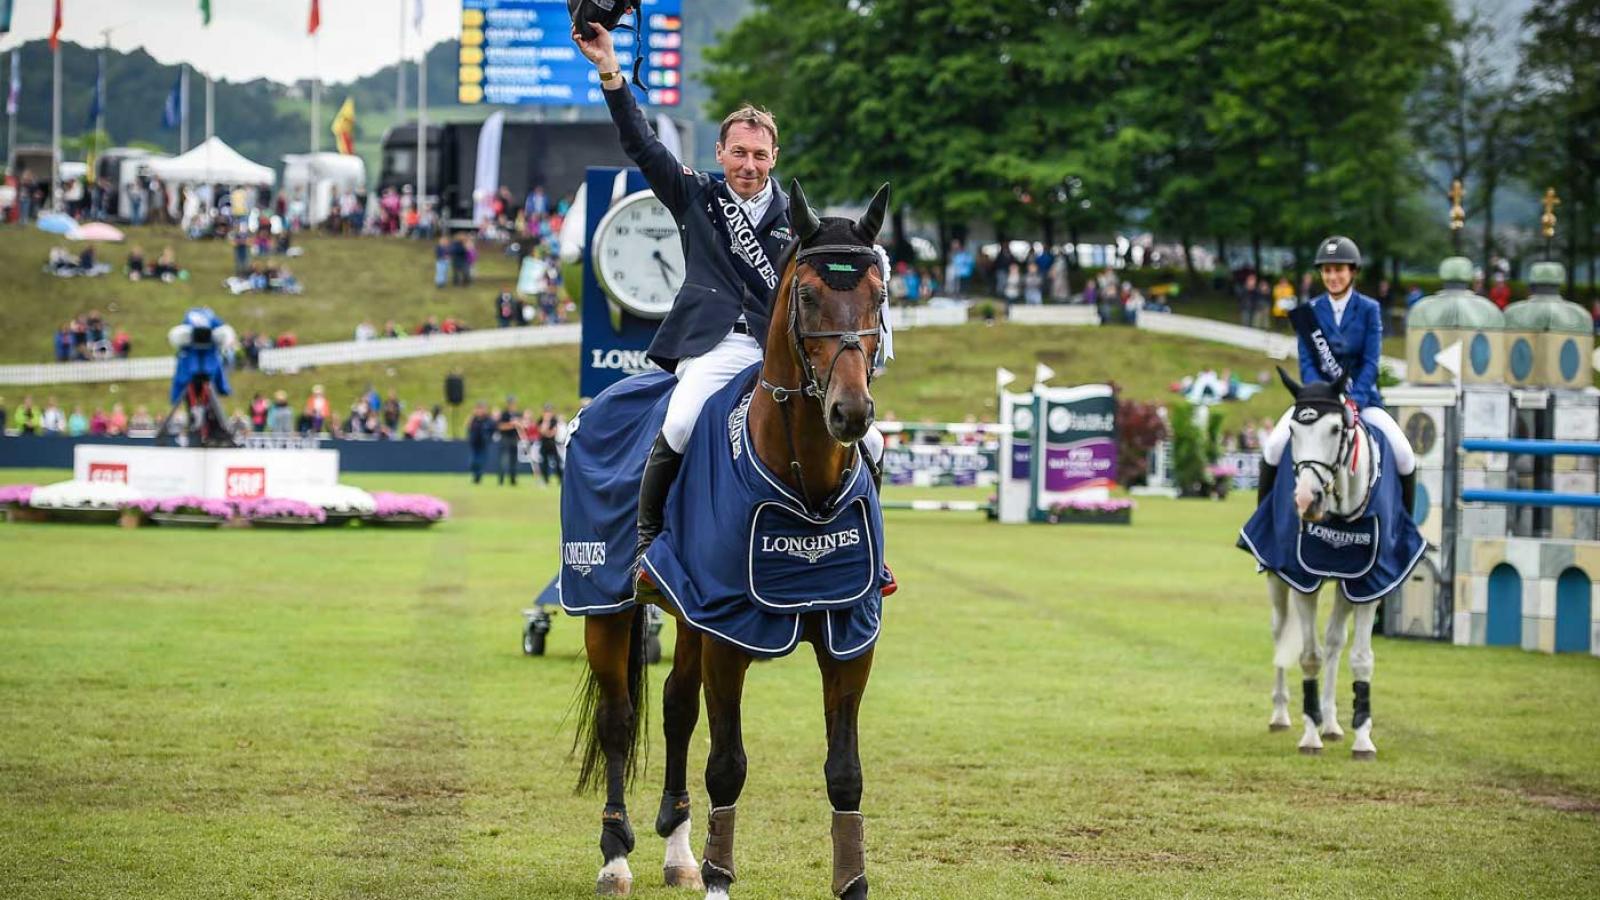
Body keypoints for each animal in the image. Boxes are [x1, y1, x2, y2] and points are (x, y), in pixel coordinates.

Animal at [572, 178, 889, 890]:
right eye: (807, 294)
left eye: (880, 294)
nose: (850, 413)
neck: (807, 486)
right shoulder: (731, 631)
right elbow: (728, 764)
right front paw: (720, 877)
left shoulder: (848, 635)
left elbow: (845, 774)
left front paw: (851, 882)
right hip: (603, 603)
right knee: (617, 718)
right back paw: (616, 854)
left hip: (691, 611)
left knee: (675, 708)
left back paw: (677, 849)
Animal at [1267, 371, 1382, 755]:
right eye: (1292, 430)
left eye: (1335, 429)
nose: (1306, 499)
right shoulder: (1303, 582)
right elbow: (1309, 656)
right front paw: (1309, 734)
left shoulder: (1370, 585)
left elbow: (1360, 658)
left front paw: (1362, 737)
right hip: (1276, 580)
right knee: (1279, 631)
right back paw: (1281, 715)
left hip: (1346, 590)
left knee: (1335, 641)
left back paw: (1331, 722)